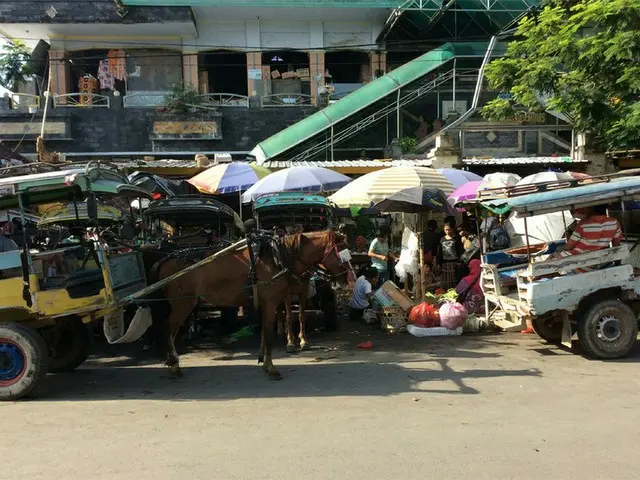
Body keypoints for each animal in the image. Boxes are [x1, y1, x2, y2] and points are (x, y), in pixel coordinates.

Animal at [153, 231, 350, 380]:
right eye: (340, 253)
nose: (348, 278)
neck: (277, 257)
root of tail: (166, 260)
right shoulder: (271, 302)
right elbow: (269, 335)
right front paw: (271, 368)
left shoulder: (266, 303)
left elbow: (264, 332)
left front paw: (263, 362)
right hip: (183, 304)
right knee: (167, 328)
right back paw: (174, 365)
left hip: (184, 305)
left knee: (171, 331)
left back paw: (172, 362)